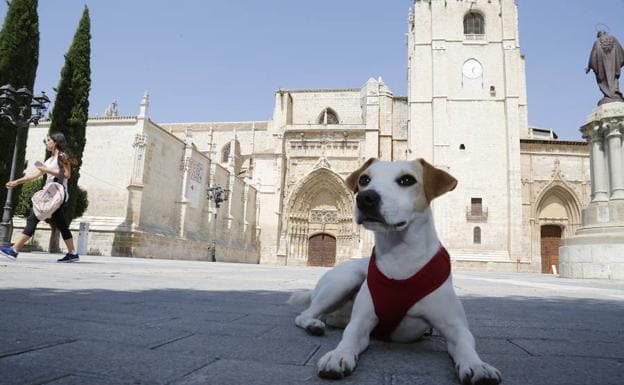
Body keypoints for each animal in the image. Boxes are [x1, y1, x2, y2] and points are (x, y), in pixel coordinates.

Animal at [288, 158, 502, 382]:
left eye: (407, 180)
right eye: (364, 179)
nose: (366, 198)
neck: (400, 256)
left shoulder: (457, 329)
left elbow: (466, 346)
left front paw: (477, 365)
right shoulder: (360, 324)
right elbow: (348, 338)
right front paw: (337, 356)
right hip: (342, 282)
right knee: (305, 314)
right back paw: (313, 325)